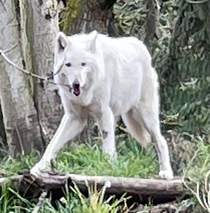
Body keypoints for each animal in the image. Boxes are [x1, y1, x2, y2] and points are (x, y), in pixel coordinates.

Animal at [30, 30, 173, 180]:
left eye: (83, 64)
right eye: (68, 64)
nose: (76, 84)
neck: (86, 93)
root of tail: (143, 48)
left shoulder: (104, 113)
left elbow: (108, 145)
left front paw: (109, 169)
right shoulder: (75, 118)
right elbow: (53, 144)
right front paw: (39, 168)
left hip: (145, 116)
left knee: (161, 141)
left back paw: (166, 172)